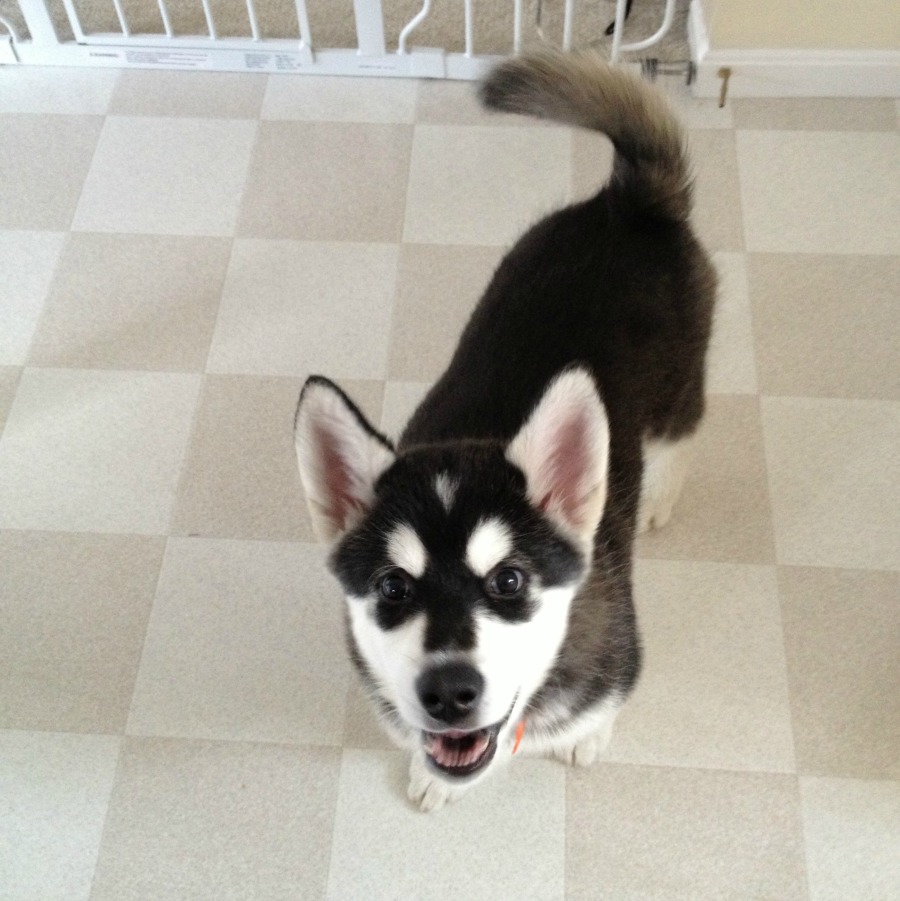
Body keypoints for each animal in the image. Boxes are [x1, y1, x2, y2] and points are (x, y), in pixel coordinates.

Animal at [296, 47, 716, 808]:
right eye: (393, 587)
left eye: (510, 580)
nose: (449, 692)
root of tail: (627, 202)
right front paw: (430, 774)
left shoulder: (618, 658)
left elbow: (601, 707)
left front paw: (587, 736)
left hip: (679, 387)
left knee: (683, 431)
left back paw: (661, 496)